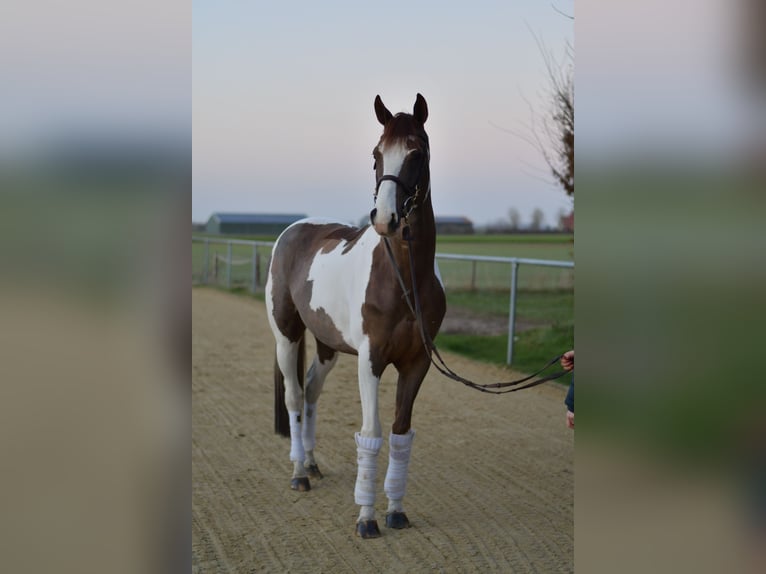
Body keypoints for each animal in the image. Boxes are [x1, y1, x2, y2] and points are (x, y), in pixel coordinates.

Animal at [265, 93, 446, 538]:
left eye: (417, 153)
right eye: (376, 154)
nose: (384, 219)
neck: (403, 280)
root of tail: (293, 230)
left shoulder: (417, 363)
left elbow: (399, 433)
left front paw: (395, 510)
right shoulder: (371, 360)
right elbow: (371, 433)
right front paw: (366, 518)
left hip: (327, 345)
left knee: (312, 390)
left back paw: (312, 462)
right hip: (286, 336)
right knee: (295, 396)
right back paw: (299, 472)